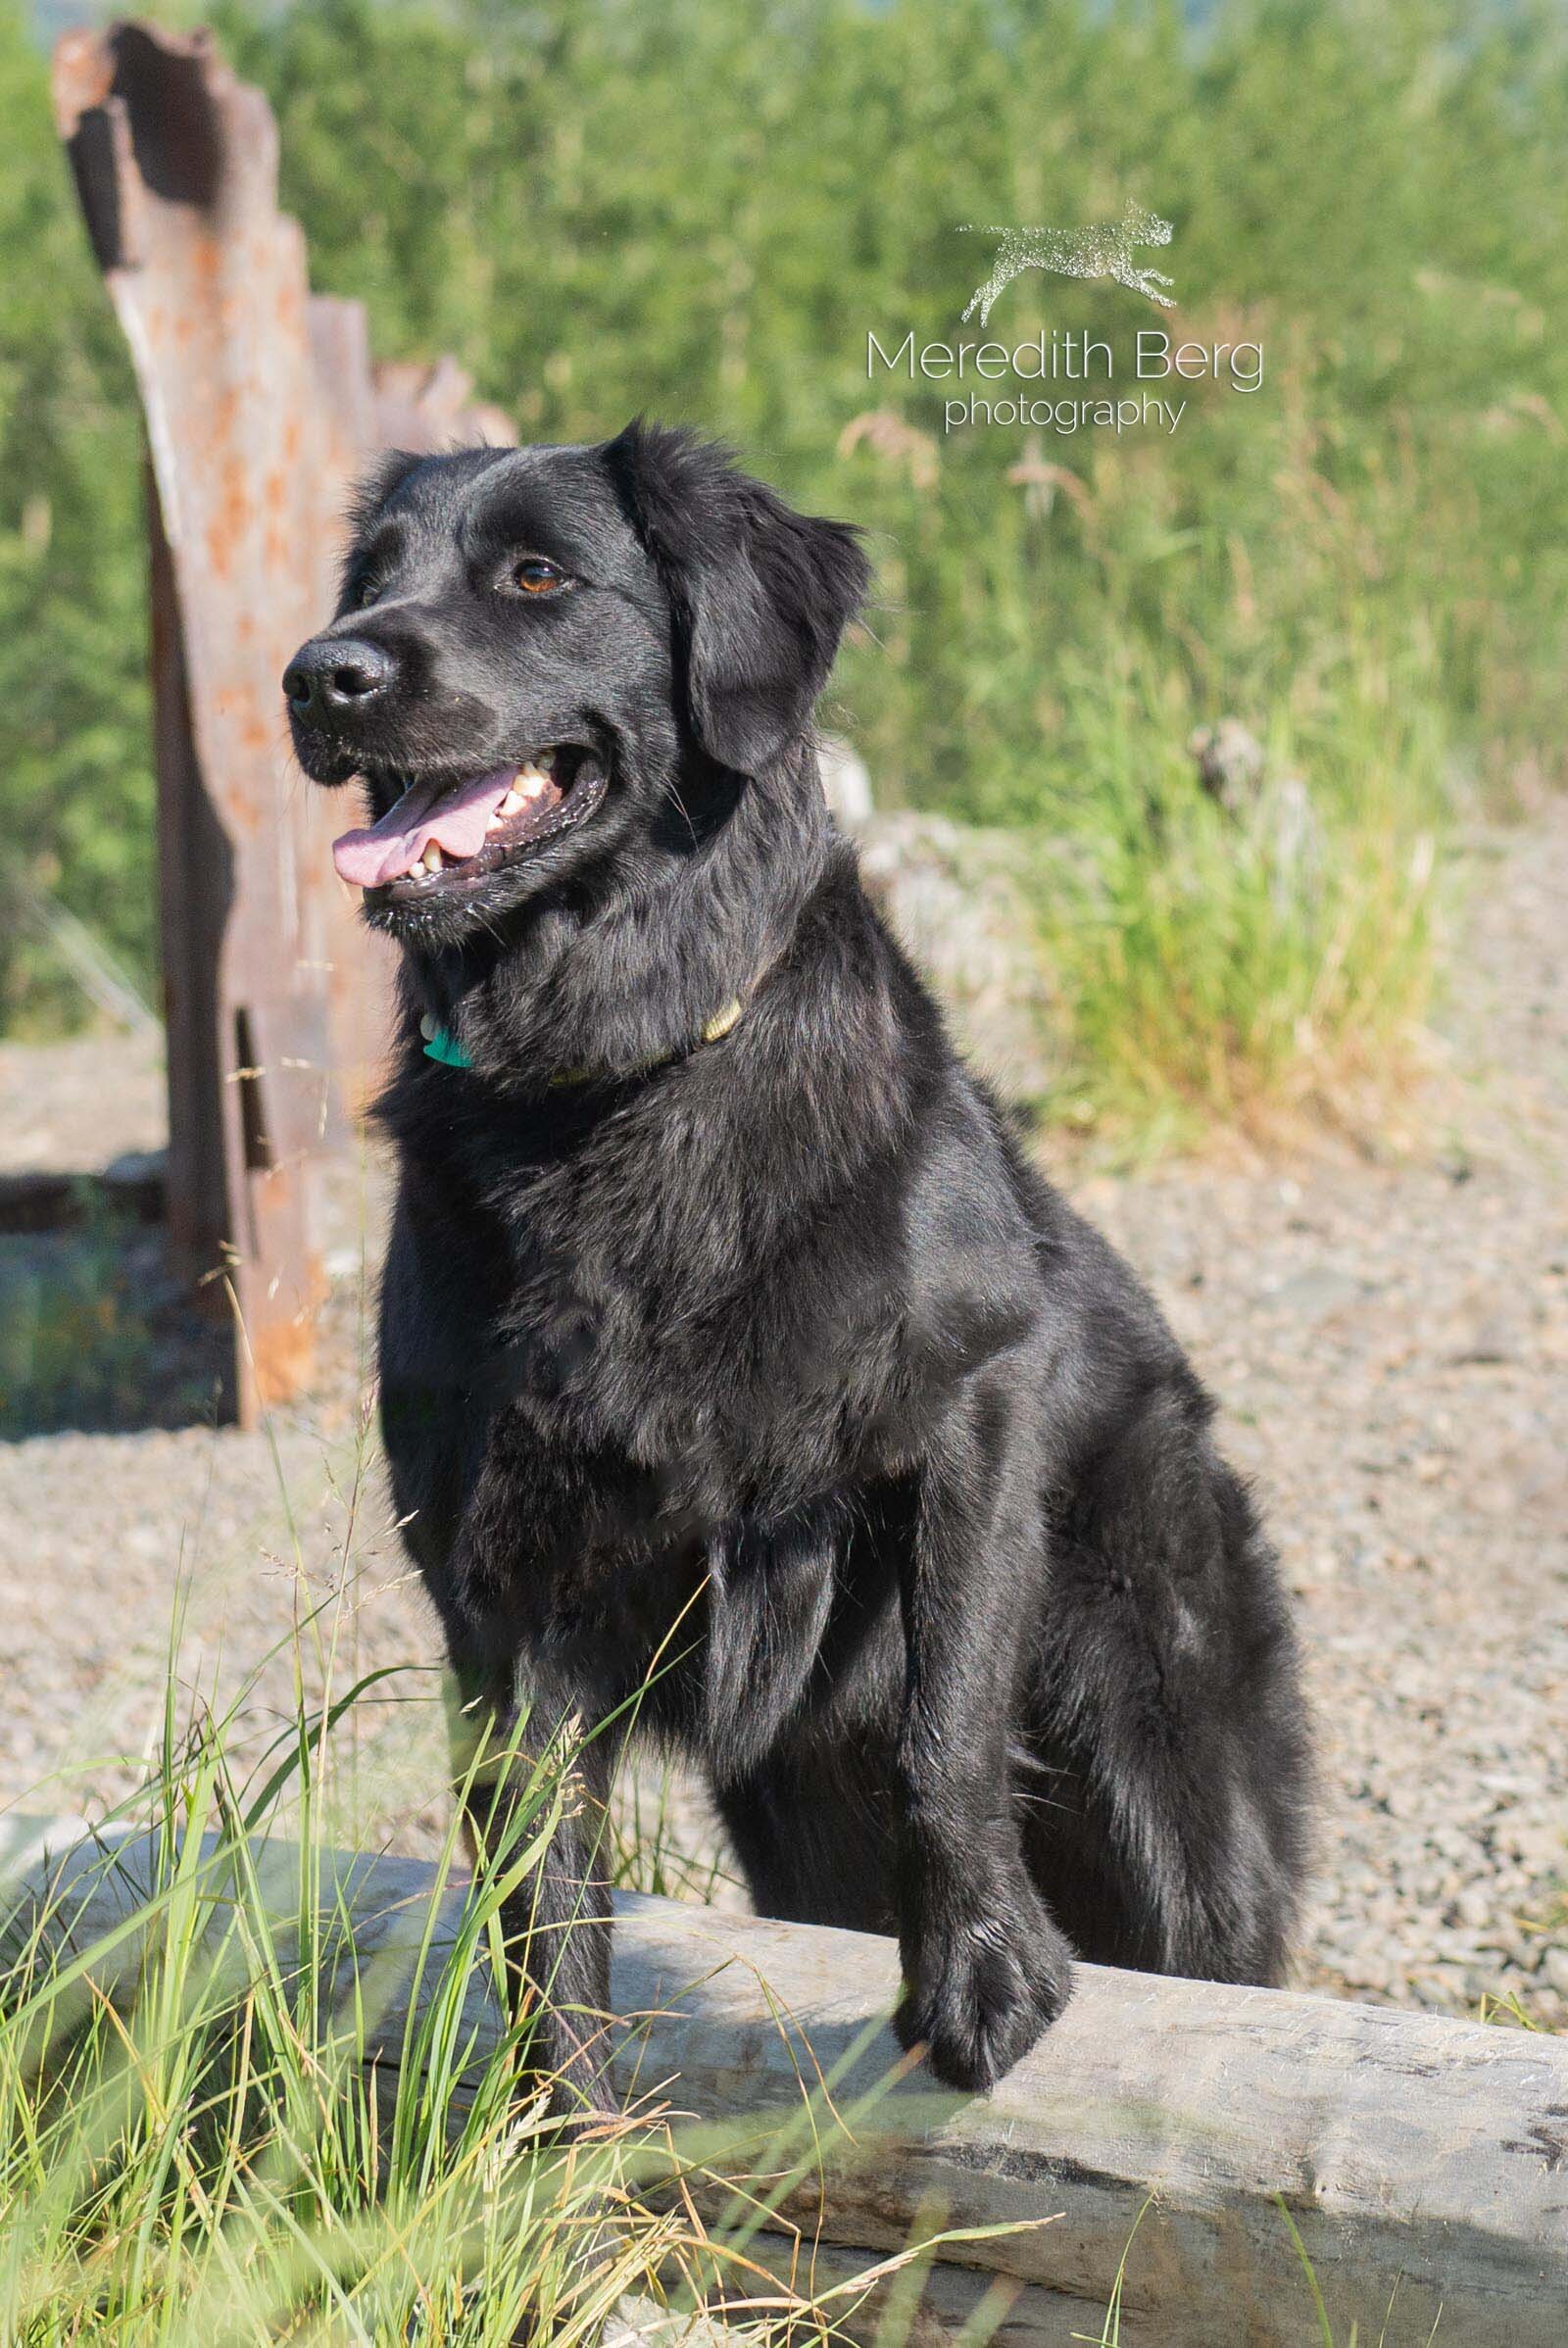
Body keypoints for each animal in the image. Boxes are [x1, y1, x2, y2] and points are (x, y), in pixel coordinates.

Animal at [285, 422, 1314, 2113]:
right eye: (369, 578)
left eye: (537, 575)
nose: (322, 676)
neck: (613, 1082)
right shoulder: (493, 1574)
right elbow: (537, 1885)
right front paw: (558, 2133)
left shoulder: (972, 1410)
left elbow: (943, 1725)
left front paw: (980, 1972)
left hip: (1164, 1761)